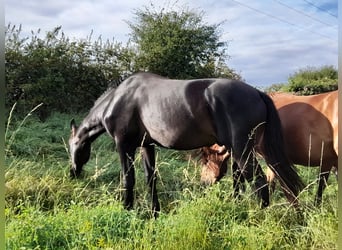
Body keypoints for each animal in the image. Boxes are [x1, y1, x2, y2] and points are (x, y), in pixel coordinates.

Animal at [68, 72, 304, 217]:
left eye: (73, 145)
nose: (73, 172)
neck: (119, 98)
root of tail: (257, 92)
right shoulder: (147, 146)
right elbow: (150, 177)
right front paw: (155, 213)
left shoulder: (123, 145)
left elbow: (129, 178)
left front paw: (127, 210)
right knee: (242, 180)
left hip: (242, 148)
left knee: (259, 181)